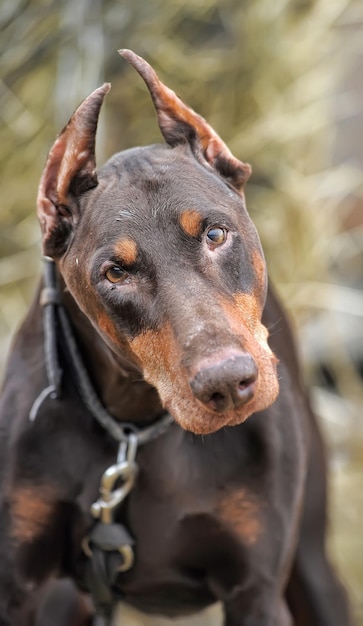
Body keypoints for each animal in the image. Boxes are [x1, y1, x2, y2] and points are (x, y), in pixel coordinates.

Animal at [0, 50, 352, 624]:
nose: (227, 384)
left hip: (313, 563)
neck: (135, 427)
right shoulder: (18, 587)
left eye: (215, 234)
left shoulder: (256, 592)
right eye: (115, 273)